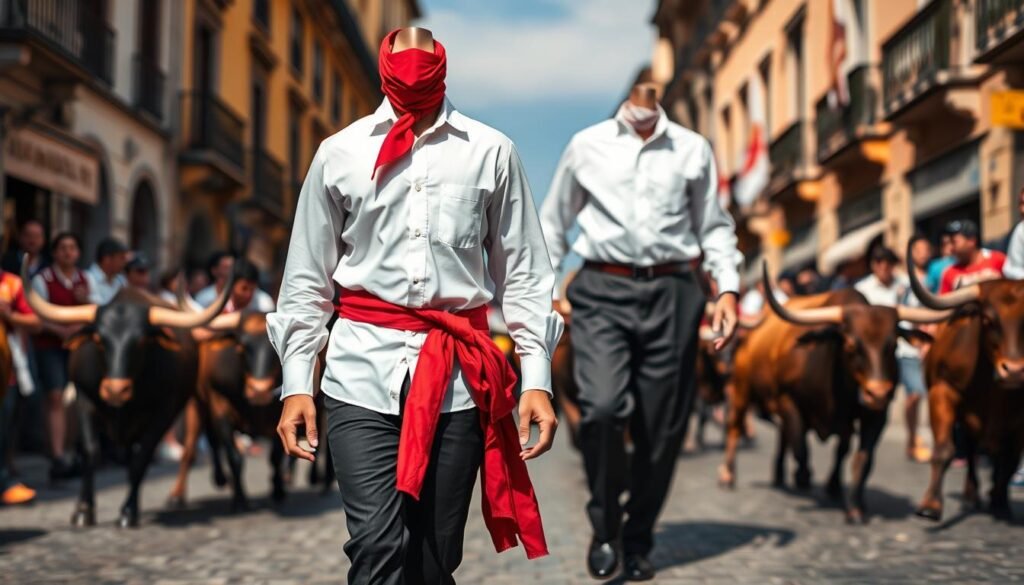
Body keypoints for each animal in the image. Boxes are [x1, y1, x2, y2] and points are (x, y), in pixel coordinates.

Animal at [720, 262, 942, 524]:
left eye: (893, 344)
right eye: (850, 344)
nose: (877, 393)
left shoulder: (875, 415)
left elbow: (859, 458)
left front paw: (853, 505)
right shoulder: (788, 402)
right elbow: (801, 448)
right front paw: (804, 478)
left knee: (793, 439)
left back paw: (787, 477)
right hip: (741, 390)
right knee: (736, 428)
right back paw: (728, 475)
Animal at [909, 252, 1024, 522]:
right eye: (988, 320)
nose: (1014, 370)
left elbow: (1009, 462)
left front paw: (1001, 504)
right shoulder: (943, 391)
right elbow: (943, 450)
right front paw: (930, 505)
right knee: (971, 451)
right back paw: (971, 495)